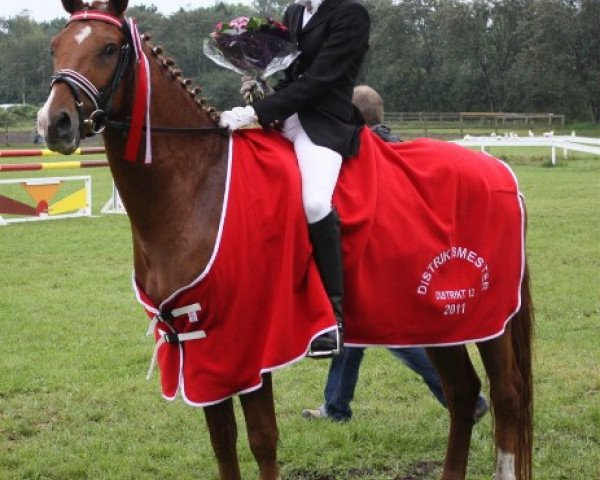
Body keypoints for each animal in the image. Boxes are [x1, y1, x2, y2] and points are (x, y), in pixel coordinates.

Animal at [37, 1, 536, 478]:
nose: (53, 123)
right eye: (55, 47)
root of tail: (498, 172)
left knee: (507, 395)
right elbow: (222, 443)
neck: (198, 185)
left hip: (487, 317)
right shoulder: (202, 347)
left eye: (108, 48)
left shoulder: (250, 343)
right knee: (462, 393)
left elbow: (262, 440)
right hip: (434, 319)